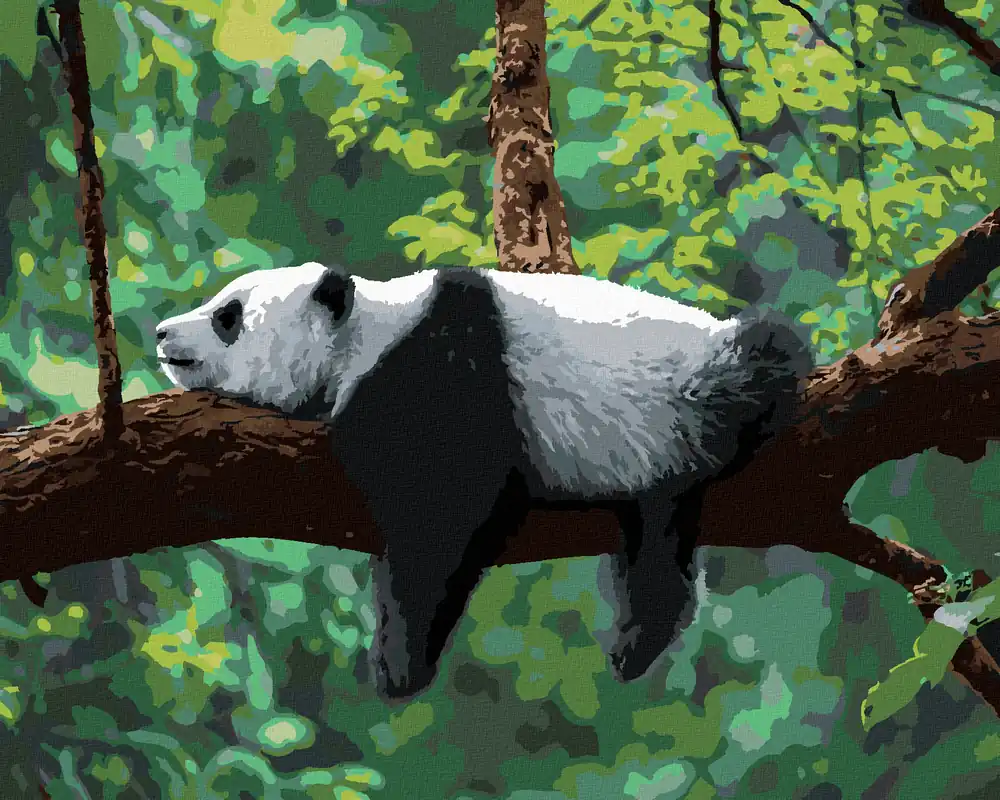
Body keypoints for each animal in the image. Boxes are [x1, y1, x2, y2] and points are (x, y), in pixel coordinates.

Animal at [155, 262, 809, 702]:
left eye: (228, 315)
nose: (162, 333)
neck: (364, 333)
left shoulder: (441, 361)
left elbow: (447, 503)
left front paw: (399, 661)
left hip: (690, 383)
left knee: (764, 356)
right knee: (655, 535)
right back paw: (638, 639)